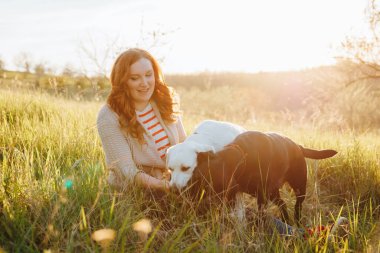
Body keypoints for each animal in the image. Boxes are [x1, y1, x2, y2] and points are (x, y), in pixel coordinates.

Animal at [191, 130, 336, 223]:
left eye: (205, 182)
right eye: (195, 177)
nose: (192, 200)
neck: (241, 155)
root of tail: (299, 147)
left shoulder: (262, 196)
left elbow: (261, 213)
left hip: (299, 187)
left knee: (298, 205)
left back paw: (297, 221)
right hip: (273, 193)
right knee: (283, 204)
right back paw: (286, 220)